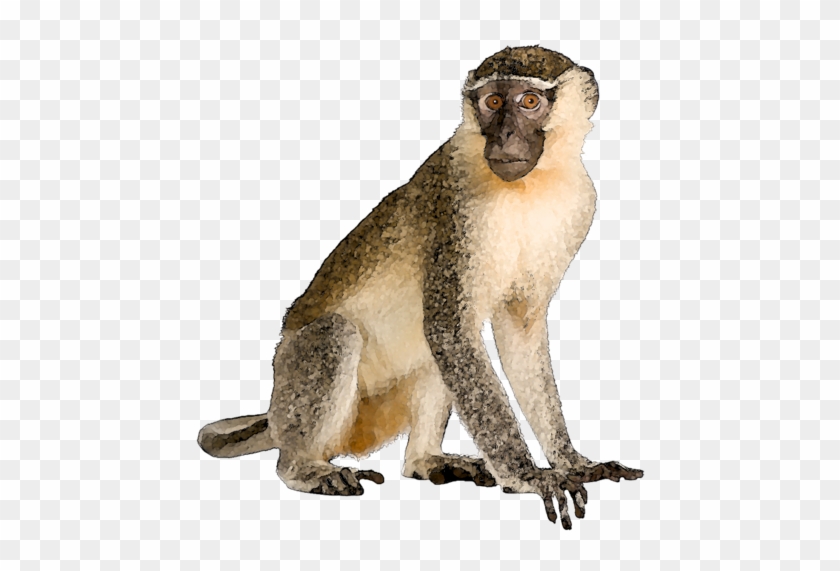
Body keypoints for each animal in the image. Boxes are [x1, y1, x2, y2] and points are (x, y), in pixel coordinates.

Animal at [197, 46, 643, 529]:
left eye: (529, 102)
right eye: (492, 102)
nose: (504, 136)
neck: (530, 185)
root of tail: (275, 414)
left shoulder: (581, 203)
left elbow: (518, 331)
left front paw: (573, 461)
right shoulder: (456, 206)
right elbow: (451, 330)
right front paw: (529, 475)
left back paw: (426, 460)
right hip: (296, 377)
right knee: (337, 334)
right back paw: (303, 467)